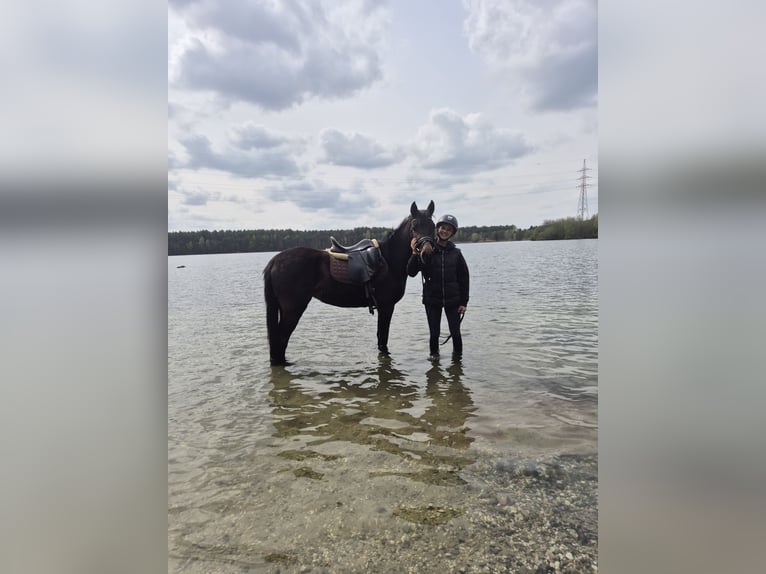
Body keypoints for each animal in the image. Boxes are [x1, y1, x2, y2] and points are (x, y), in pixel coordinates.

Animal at [263, 200, 436, 365]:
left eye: (433, 226)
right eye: (414, 227)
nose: (427, 253)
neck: (388, 259)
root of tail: (275, 260)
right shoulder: (386, 307)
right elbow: (383, 339)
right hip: (293, 309)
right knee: (281, 339)